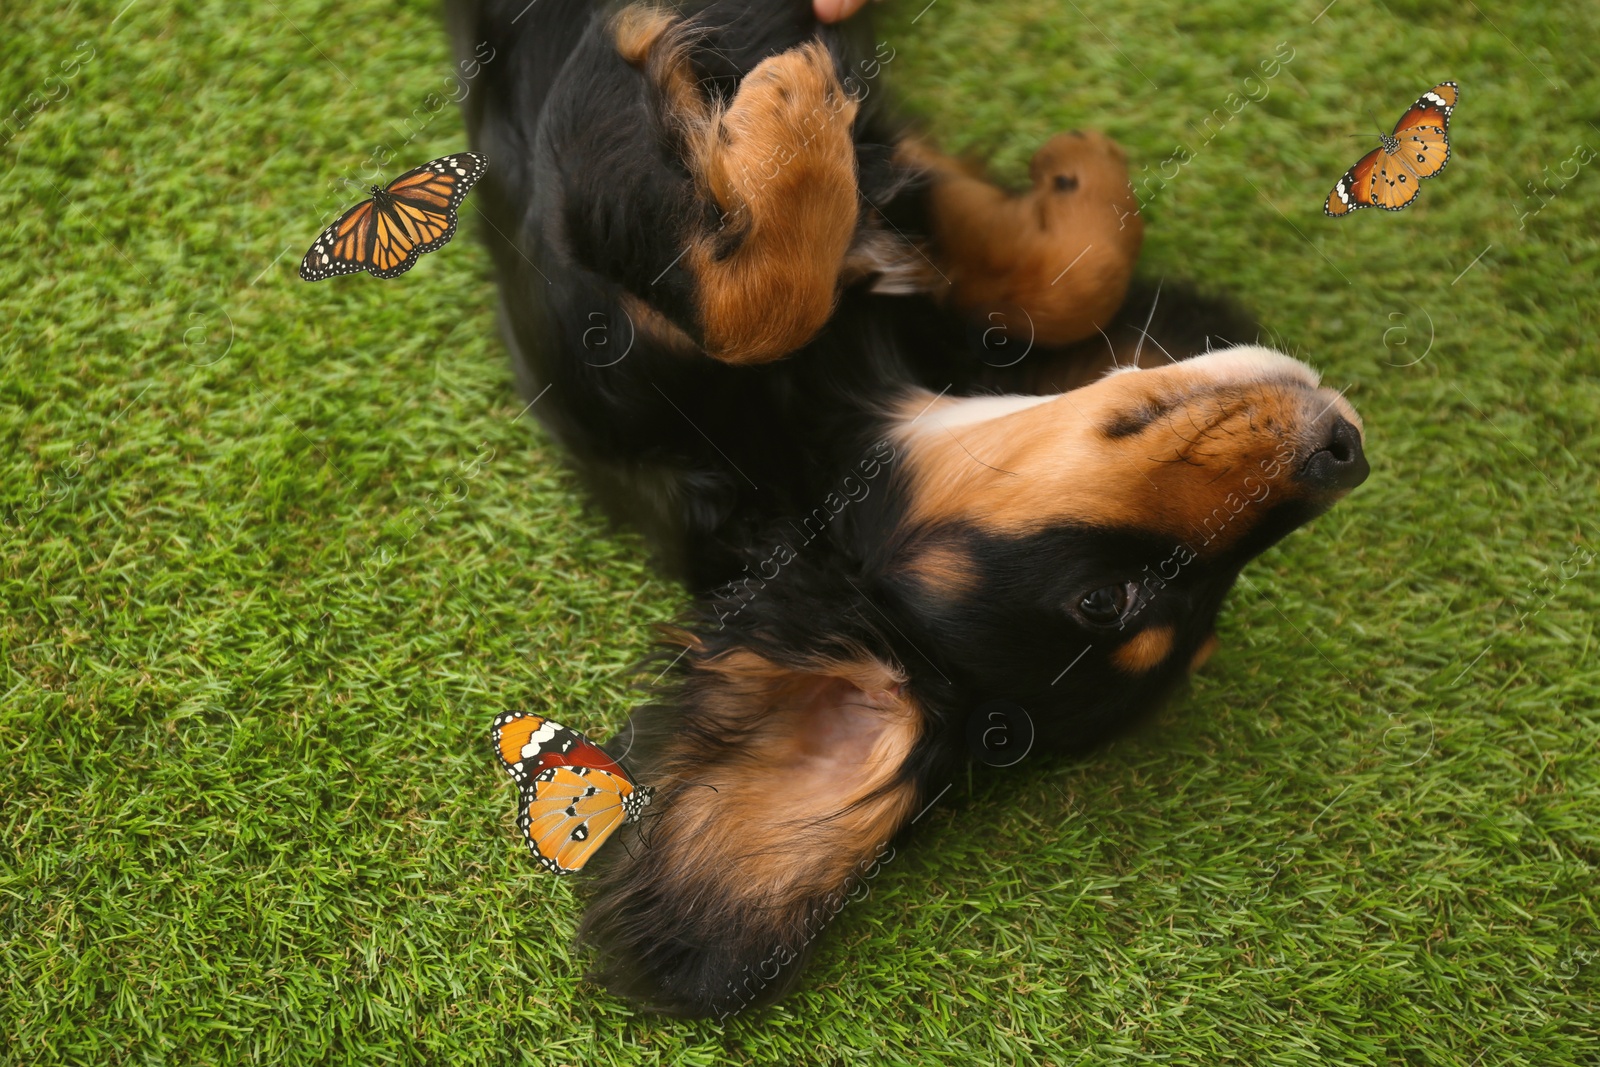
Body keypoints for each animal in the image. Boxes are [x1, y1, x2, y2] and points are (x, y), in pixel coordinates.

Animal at [448, 0, 1363, 1017]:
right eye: (1107, 601)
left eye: (1148, 613)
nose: (1346, 453)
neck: (813, 420)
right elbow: (837, 297)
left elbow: (1003, 283)